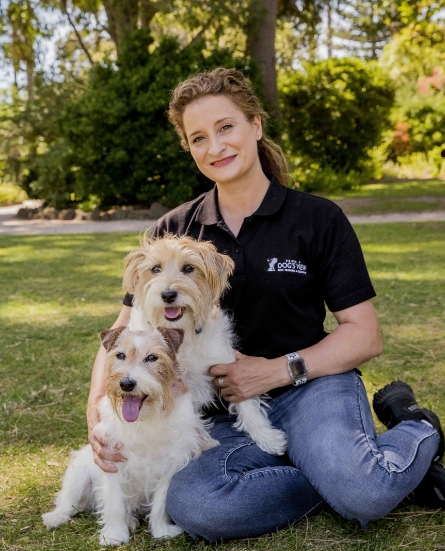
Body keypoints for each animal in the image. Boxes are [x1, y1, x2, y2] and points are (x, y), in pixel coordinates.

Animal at [42, 326, 216, 544]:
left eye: (152, 357)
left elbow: (160, 504)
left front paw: (161, 531)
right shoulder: (112, 460)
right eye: (120, 355)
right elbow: (114, 503)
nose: (126, 384)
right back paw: (55, 517)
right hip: (78, 474)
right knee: (69, 501)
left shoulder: (170, 464)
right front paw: (114, 536)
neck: (145, 417)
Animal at [123, 236, 286, 458]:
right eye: (155, 268)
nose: (168, 294)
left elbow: (247, 405)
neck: (182, 334)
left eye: (189, 268)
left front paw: (267, 438)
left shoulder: (229, 368)